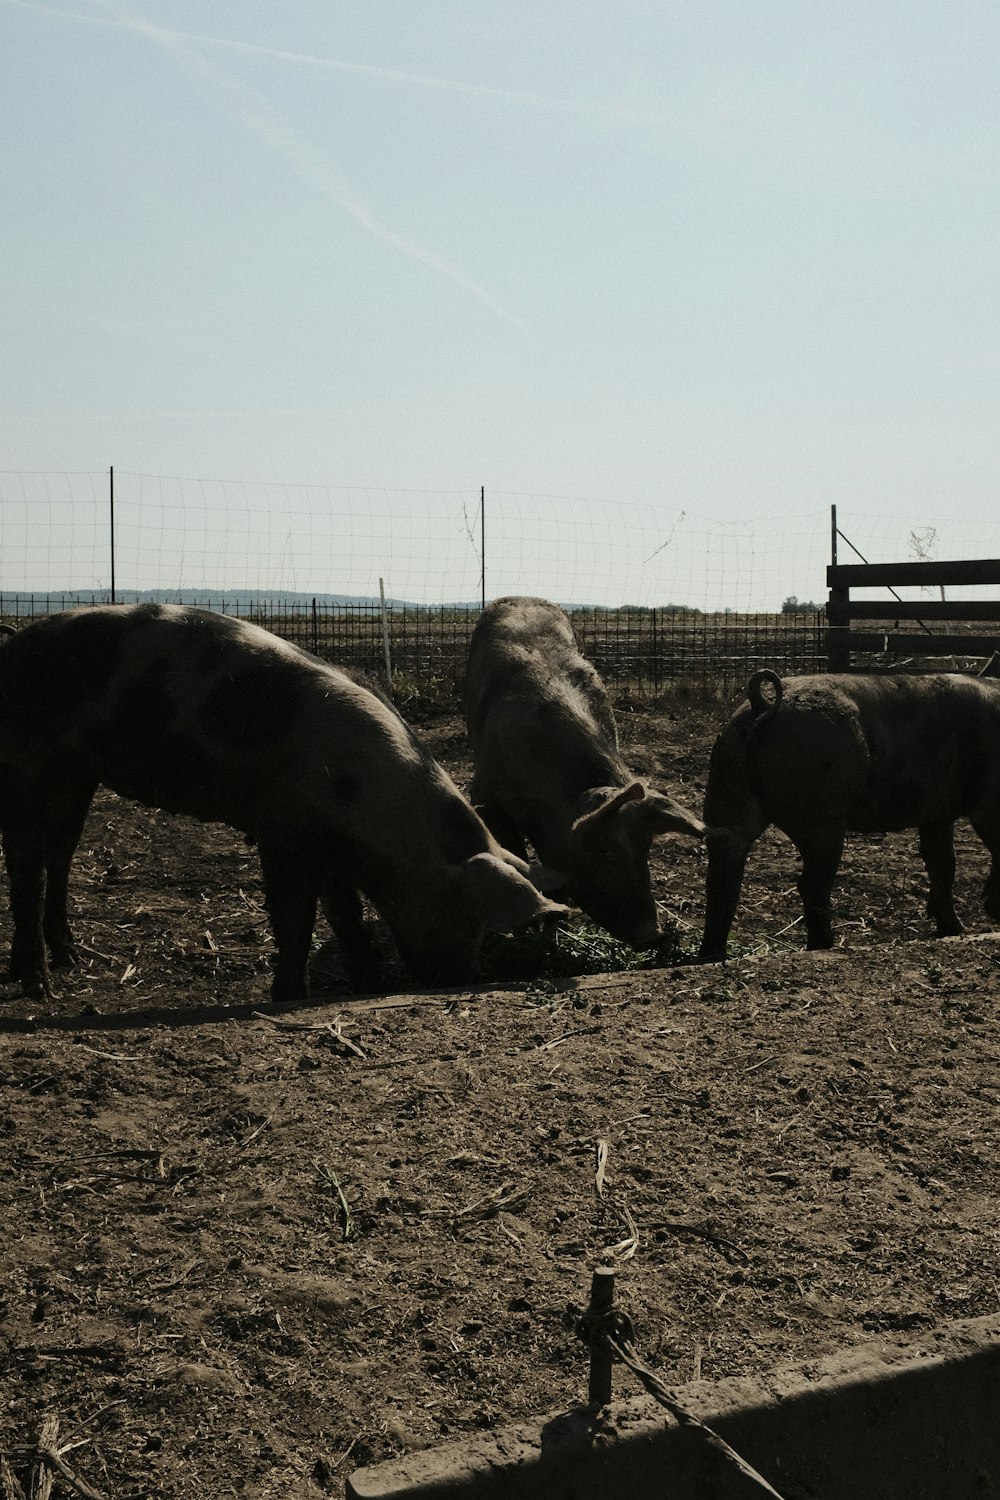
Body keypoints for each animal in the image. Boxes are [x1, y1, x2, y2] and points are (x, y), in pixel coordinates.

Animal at [0, 603, 566, 1002]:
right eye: (468, 915)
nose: (460, 978)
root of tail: (11, 649)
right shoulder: (283, 831)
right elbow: (295, 916)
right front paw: (289, 996)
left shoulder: (336, 848)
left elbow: (346, 916)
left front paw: (369, 983)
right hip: (26, 762)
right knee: (26, 867)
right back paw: (41, 987)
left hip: (77, 778)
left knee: (59, 857)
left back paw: (71, 958)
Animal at [464, 597, 704, 948]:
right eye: (606, 851)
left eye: (645, 848)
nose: (654, 934)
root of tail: (522, 597)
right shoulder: (486, 796)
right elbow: (514, 854)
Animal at [701, 672, 1000, 960]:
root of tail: (762, 706)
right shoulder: (985, 804)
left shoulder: (936, 815)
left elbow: (943, 865)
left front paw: (954, 930)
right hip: (822, 819)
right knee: (812, 884)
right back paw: (824, 945)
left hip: (726, 795)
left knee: (722, 876)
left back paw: (711, 954)